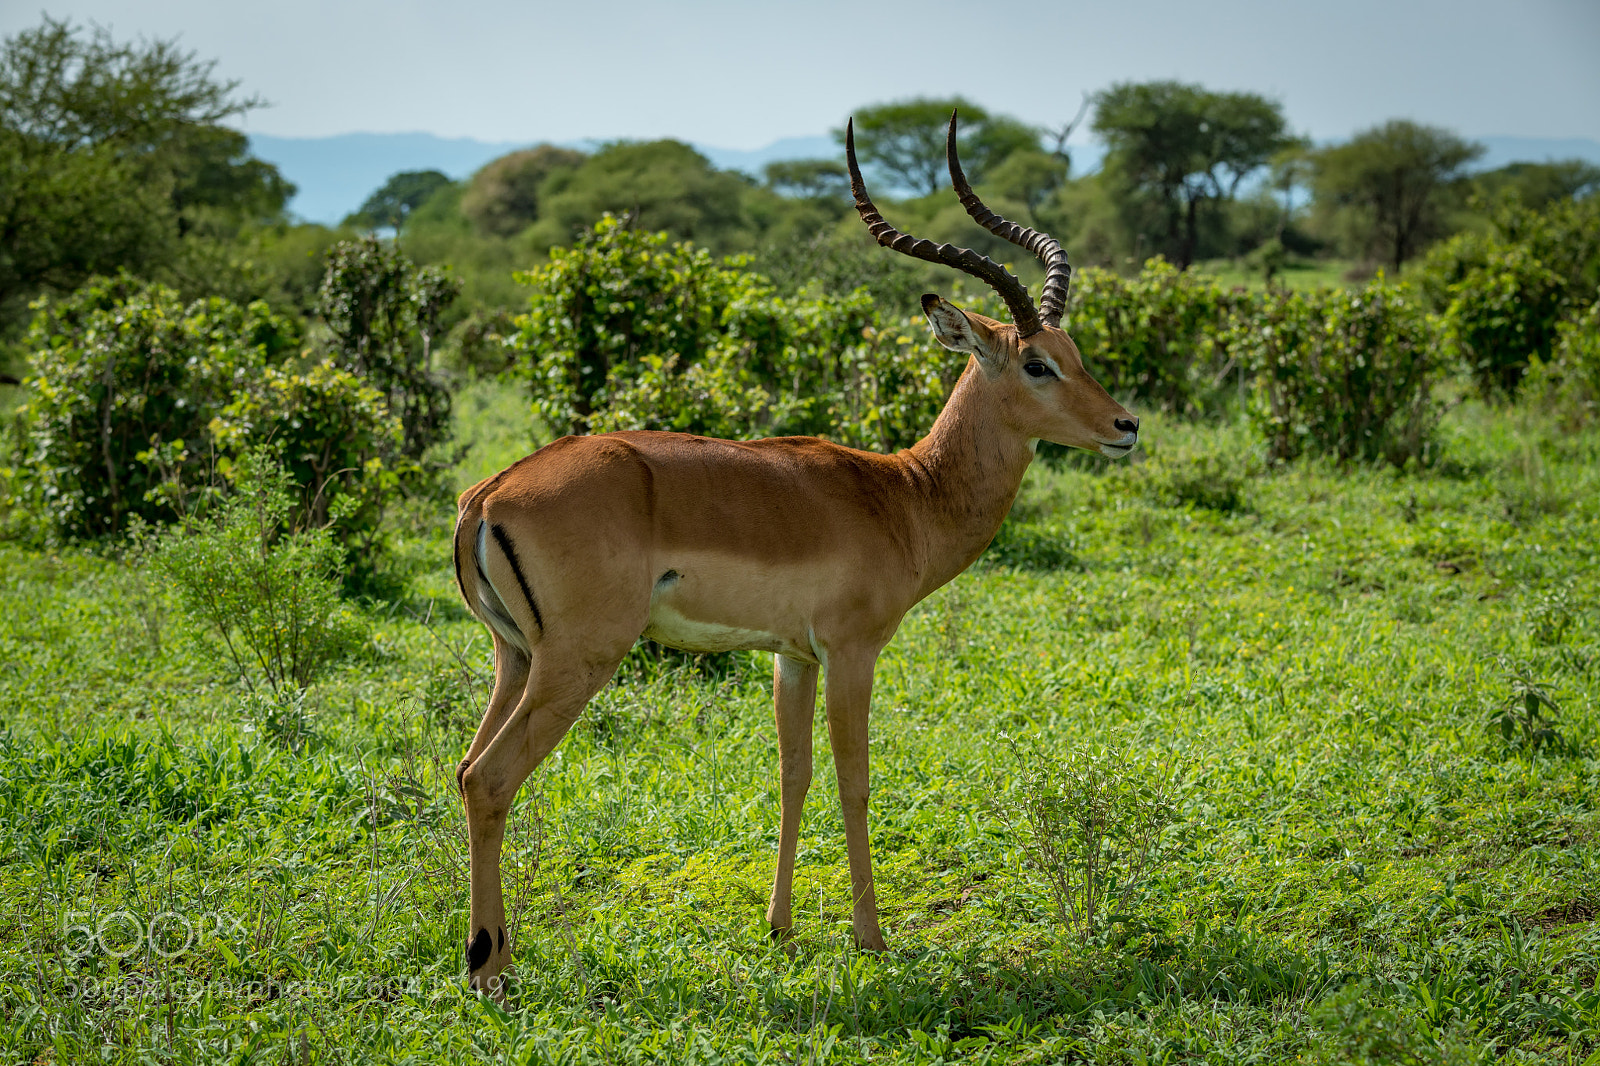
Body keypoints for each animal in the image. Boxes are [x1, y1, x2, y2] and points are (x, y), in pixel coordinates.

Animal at [451, 113, 1139, 994]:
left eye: (1074, 350)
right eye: (1036, 362)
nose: (1124, 426)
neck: (901, 494)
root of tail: (488, 495)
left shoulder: (792, 656)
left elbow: (792, 774)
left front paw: (779, 927)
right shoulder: (852, 650)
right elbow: (854, 778)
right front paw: (872, 937)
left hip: (512, 656)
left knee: (466, 770)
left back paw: (497, 952)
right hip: (579, 659)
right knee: (492, 777)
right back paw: (489, 970)